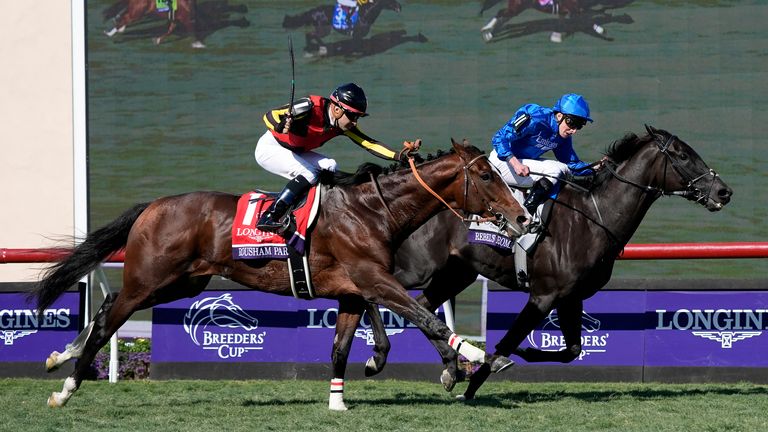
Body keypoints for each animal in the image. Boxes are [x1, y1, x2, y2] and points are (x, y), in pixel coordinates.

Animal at [33, 141, 532, 408]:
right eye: (486, 175)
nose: (522, 216)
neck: (373, 211)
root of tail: (153, 206)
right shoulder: (374, 279)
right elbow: (425, 316)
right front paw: (474, 355)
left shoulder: (354, 291)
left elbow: (342, 347)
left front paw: (338, 401)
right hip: (150, 279)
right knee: (109, 320)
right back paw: (65, 388)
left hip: (179, 282)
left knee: (104, 310)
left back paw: (59, 358)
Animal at [328, 125, 732, 404]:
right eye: (682, 155)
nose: (723, 191)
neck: (592, 218)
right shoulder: (543, 296)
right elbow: (508, 341)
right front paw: (478, 379)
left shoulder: (571, 298)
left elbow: (571, 351)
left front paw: (498, 363)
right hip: (415, 267)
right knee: (376, 295)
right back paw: (380, 357)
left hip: (456, 272)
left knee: (422, 308)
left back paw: (449, 367)